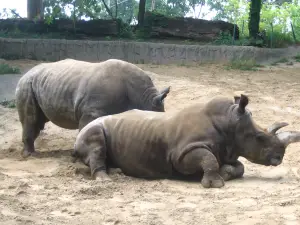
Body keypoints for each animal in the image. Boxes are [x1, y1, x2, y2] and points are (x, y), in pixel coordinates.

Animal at [15, 58, 171, 158]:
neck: (142, 97)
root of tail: (25, 74)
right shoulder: (92, 111)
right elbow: (86, 129)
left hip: (40, 82)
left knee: (38, 121)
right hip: (26, 84)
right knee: (31, 119)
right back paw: (30, 155)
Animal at [71, 94, 300, 189]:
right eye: (260, 138)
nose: (279, 158)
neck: (229, 123)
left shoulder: (229, 149)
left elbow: (239, 166)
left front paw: (226, 172)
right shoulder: (182, 153)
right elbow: (208, 158)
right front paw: (216, 184)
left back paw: (117, 172)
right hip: (91, 129)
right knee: (96, 142)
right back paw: (105, 180)